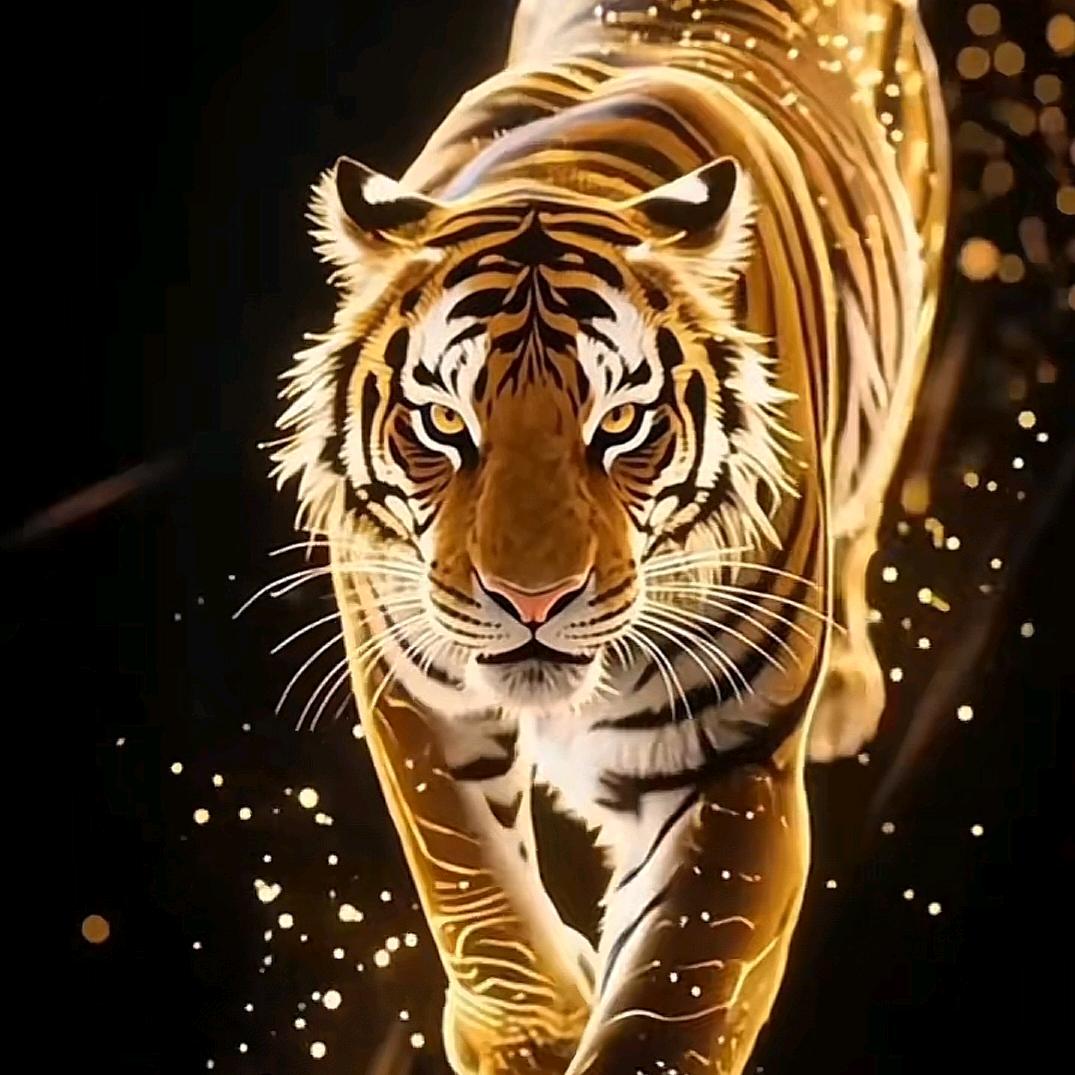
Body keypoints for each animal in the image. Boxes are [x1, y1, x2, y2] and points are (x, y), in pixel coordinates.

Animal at [272, 1, 949, 1072]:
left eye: (621, 423)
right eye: (445, 422)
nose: (531, 601)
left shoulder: (727, 763)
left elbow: (680, 986)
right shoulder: (411, 682)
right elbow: (463, 867)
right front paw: (524, 1035)